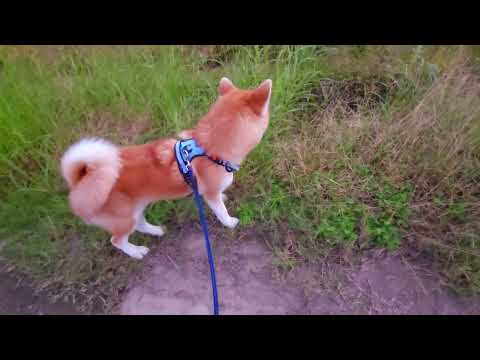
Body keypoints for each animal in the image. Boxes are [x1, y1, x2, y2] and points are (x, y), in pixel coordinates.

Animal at [60, 78, 272, 258]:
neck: (208, 149)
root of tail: (82, 180)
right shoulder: (211, 194)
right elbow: (221, 210)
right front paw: (229, 222)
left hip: (135, 208)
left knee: (140, 224)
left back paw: (156, 230)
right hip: (123, 218)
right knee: (117, 240)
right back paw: (136, 252)